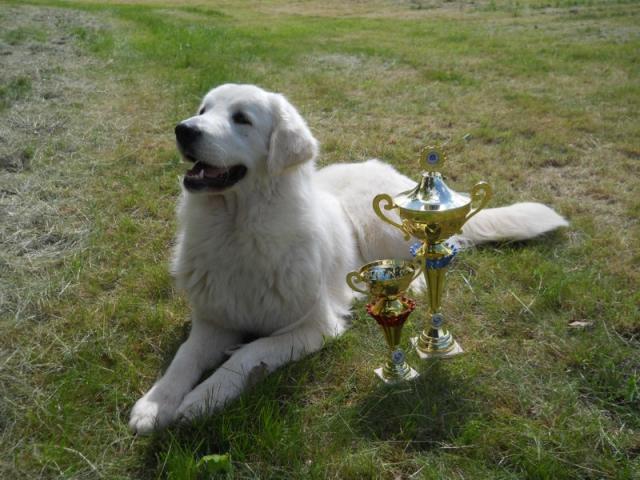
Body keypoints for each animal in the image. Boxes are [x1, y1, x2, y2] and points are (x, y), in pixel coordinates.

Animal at [129, 84, 568, 434]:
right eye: (203, 110)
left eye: (241, 119)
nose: (184, 129)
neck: (236, 230)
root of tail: (402, 179)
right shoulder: (213, 320)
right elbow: (184, 357)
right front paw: (156, 403)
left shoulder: (315, 326)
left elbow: (250, 353)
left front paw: (204, 397)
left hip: (379, 226)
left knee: (416, 257)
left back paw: (418, 282)